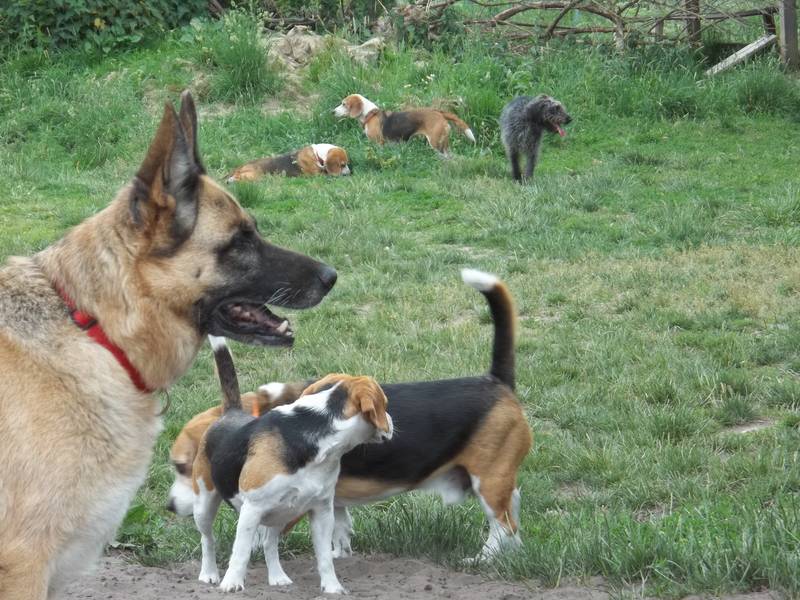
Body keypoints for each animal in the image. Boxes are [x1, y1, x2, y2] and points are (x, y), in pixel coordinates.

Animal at [168, 269, 531, 563]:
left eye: (184, 468)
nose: (169, 507)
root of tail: (496, 382)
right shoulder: (330, 499)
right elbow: (339, 528)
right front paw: (338, 554)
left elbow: (261, 533)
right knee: (513, 516)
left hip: (489, 480)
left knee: (503, 525)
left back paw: (482, 559)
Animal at [191, 336, 392, 594]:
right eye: (384, 404)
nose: (391, 422)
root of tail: (232, 411)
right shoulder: (251, 509)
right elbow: (241, 553)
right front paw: (232, 583)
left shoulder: (322, 510)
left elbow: (324, 557)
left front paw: (332, 587)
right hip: (205, 504)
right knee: (207, 539)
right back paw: (209, 574)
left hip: (281, 512)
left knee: (270, 543)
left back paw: (277, 577)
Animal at [333, 94, 475, 156]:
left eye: (344, 104)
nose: (332, 112)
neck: (370, 114)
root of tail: (438, 112)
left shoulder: (379, 143)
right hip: (443, 143)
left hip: (435, 143)